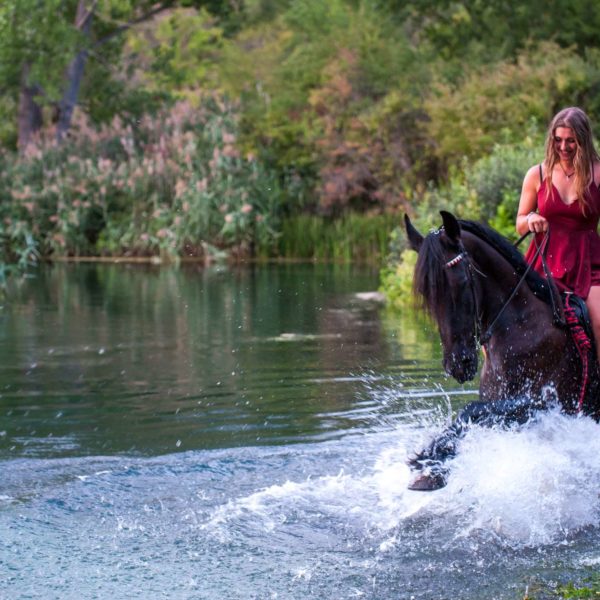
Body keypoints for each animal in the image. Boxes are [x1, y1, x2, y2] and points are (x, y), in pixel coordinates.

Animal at [404, 212, 600, 492]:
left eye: (460, 283)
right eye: (426, 293)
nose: (458, 364)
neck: (522, 323)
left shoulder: (542, 404)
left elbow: (470, 411)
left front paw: (430, 458)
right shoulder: (506, 406)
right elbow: (474, 417)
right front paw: (433, 468)